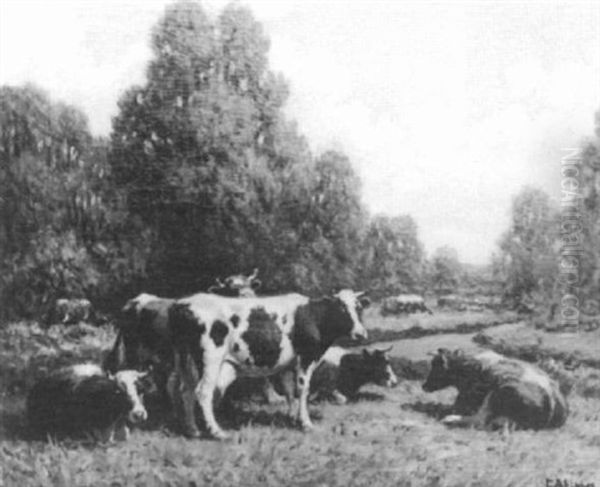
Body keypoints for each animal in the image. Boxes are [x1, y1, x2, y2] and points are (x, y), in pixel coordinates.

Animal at [166, 290, 368, 438]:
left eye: (358, 308)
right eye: (342, 309)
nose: (361, 334)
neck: (313, 316)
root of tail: (182, 303)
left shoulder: (288, 363)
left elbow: (288, 390)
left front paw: (292, 417)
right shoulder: (306, 357)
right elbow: (302, 389)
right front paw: (306, 423)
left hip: (184, 358)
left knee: (184, 390)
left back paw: (192, 430)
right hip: (210, 359)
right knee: (203, 392)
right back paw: (217, 432)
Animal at [422, 350, 568, 430]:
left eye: (437, 367)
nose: (424, 386)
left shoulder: (466, 399)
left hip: (497, 392)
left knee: (480, 420)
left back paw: (450, 419)